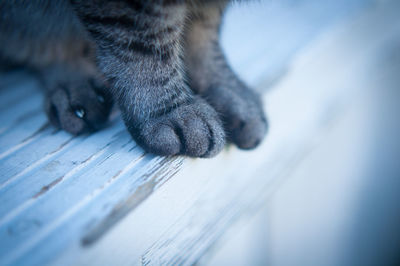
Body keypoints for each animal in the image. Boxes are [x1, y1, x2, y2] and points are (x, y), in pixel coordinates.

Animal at [1, 0, 268, 157]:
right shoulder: (127, 11)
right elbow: (145, 45)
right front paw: (171, 111)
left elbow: (203, 35)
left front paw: (228, 92)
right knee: (41, 39)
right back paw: (73, 88)